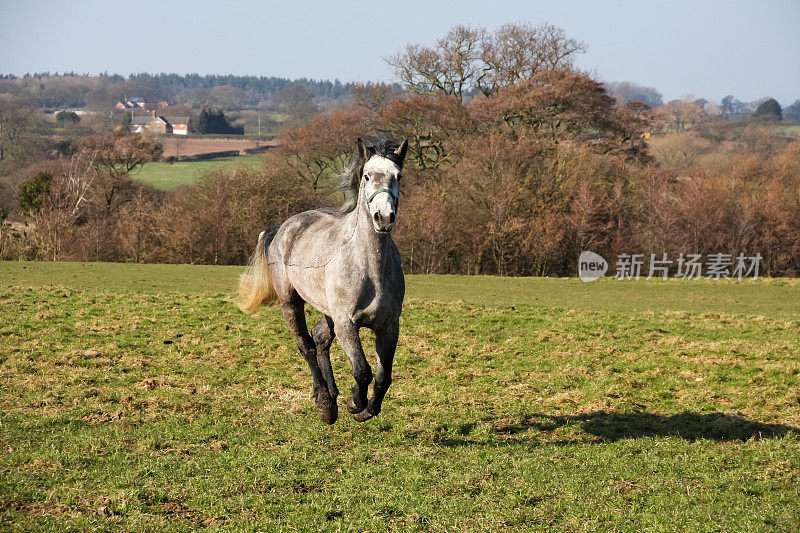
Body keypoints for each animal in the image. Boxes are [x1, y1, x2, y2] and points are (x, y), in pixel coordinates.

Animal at [238, 137, 406, 424]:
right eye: (366, 176)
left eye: (398, 176)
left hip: (328, 312)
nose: (383, 217)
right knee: (306, 344)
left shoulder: (388, 326)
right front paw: (354, 402)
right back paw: (325, 402)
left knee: (319, 339)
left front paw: (367, 409)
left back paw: (332, 396)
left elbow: (383, 377)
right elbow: (362, 371)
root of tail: (284, 226)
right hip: (291, 302)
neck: (370, 268)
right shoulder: (346, 324)